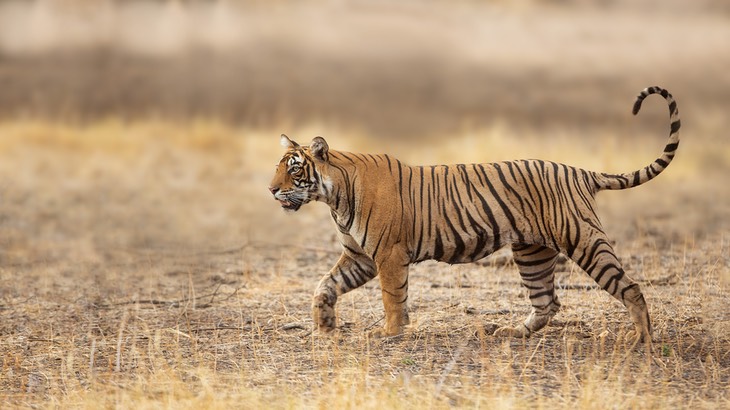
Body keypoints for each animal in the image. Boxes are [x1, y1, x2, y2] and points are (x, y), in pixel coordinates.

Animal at [270, 87, 680, 342]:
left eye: (294, 169)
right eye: (280, 168)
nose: (271, 190)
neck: (333, 197)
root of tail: (579, 170)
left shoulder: (388, 254)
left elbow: (392, 296)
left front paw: (388, 333)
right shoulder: (359, 256)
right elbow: (325, 286)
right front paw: (324, 326)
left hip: (584, 240)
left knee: (630, 287)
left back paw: (641, 339)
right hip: (532, 253)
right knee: (547, 302)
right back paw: (511, 333)